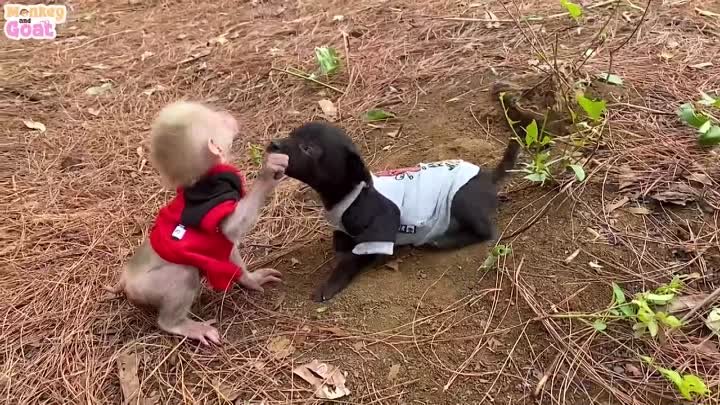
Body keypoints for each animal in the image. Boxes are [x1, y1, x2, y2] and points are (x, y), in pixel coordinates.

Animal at [108, 100, 288, 344]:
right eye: (217, 118)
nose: (227, 115)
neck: (202, 178)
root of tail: (126, 279)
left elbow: (228, 247)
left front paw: (251, 279)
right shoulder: (214, 194)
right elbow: (229, 228)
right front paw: (269, 171)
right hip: (147, 287)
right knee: (183, 274)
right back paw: (181, 325)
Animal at [270, 84, 536, 300]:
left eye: (308, 148)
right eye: (291, 134)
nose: (273, 144)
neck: (352, 196)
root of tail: (489, 176)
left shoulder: (377, 239)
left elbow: (351, 260)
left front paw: (328, 286)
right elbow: (340, 242)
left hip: (462, 200)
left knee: (485, 231)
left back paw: (443, 240)